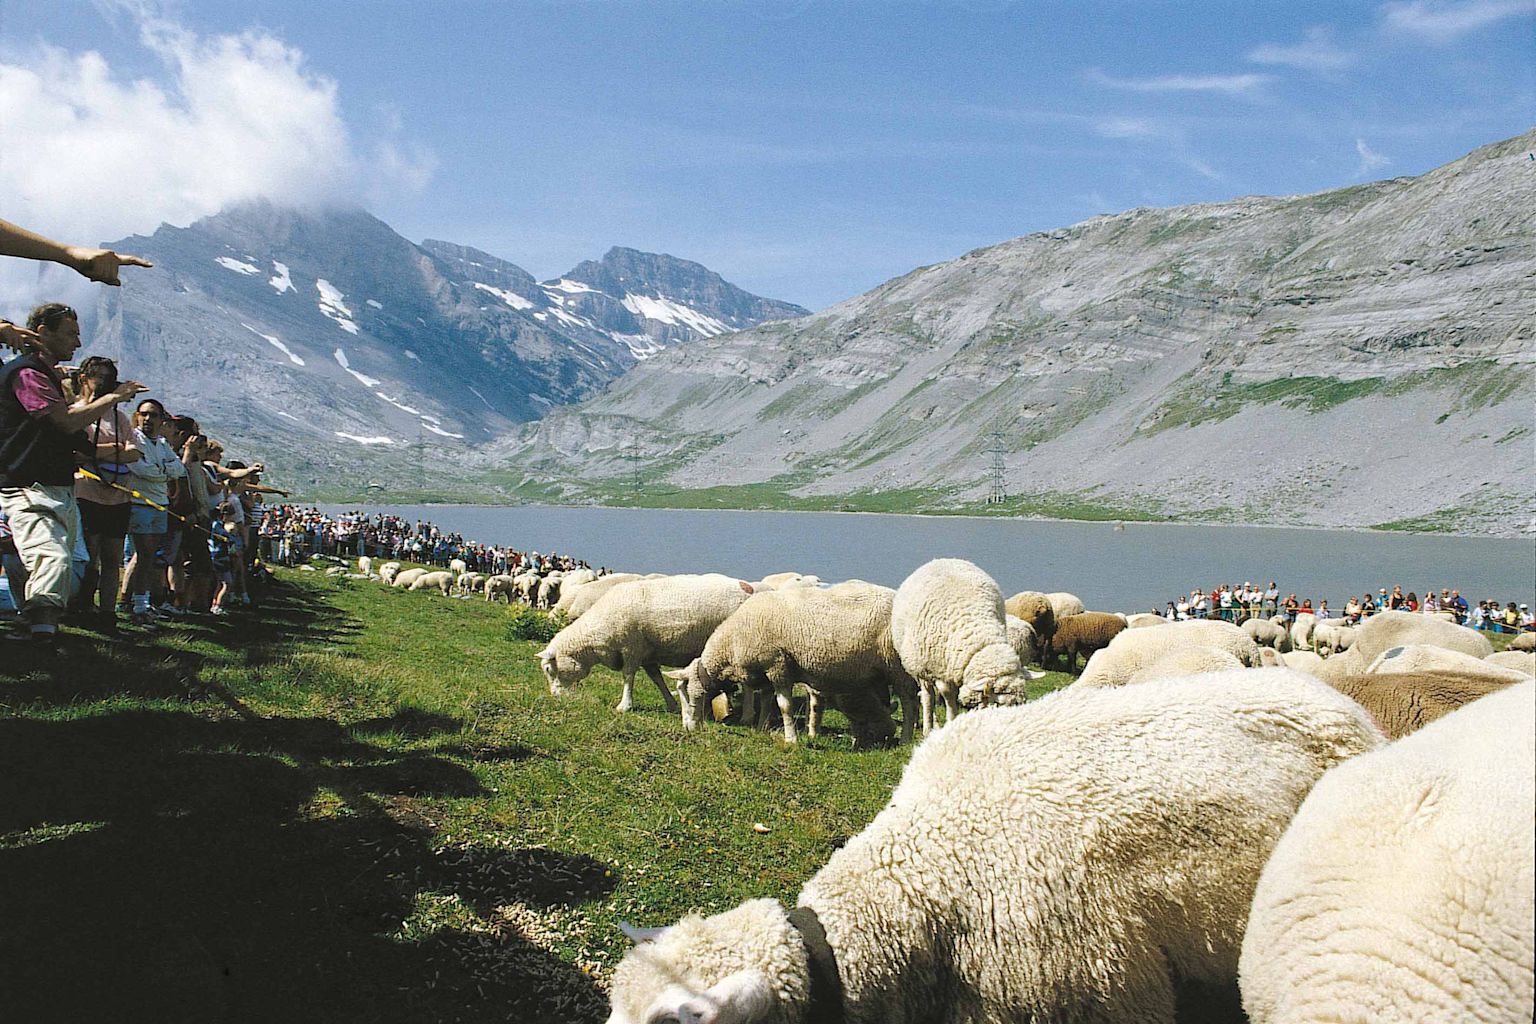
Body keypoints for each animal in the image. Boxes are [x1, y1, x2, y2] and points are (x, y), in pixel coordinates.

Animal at [538, 573, 753, 714]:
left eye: (549, 669)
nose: (555, 697)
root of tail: (747, 588)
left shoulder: (631, 648)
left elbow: (628, 676)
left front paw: (624, 706)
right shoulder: (647, 654)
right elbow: (656, 679)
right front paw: (671, 704)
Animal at [667, 580, 920, 746]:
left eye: (694, 696)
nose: (689, 728)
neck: (733, 642)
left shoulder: (779, 666)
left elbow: (784, 706)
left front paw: (791, 739)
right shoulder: (765, 671)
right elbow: (766, 702)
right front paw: (762, 728)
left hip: (897, 666)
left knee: (909, 703)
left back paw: (905, 739)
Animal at [891, 558, 1034, 734]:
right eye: (999, 704)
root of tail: (942, 559)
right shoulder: (940, 674)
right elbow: (948, 699)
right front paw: (952, 722)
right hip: (920, 667)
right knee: (928, 696)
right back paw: (929, 727)